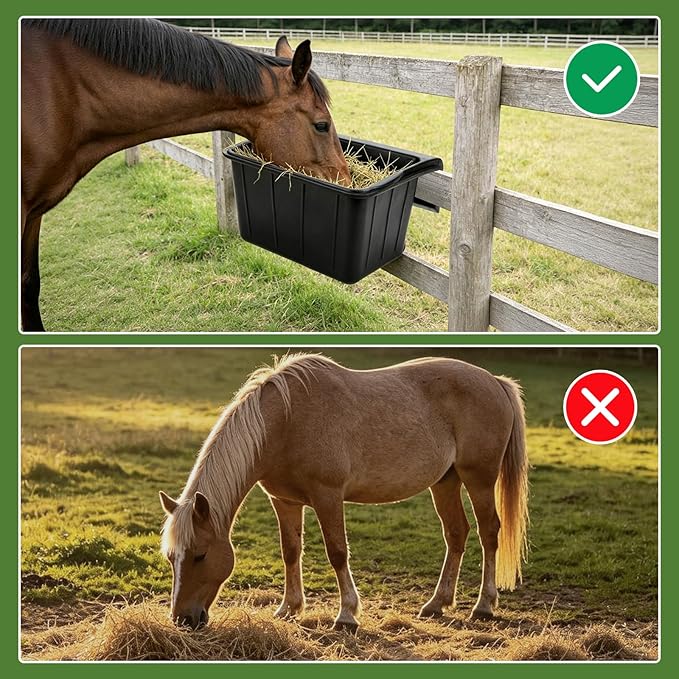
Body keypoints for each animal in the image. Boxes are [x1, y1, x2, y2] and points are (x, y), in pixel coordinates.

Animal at [159, 354, 529, 631]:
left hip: (479, 480)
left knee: (489, 532)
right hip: (445, 482)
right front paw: (288, 609)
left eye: (200, 554)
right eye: (171, 557)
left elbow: (337, 552)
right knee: (456, 533)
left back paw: (483, 606)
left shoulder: (328, 497)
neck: (286, 422)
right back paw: (436, 604)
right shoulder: (284, 501)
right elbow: (290, 551)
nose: (183, 619)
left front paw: (347, 615)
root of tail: (496, 381)